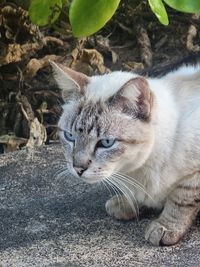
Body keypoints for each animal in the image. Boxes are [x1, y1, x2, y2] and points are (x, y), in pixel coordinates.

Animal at [50, 60, 200, 247]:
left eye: (106, 143)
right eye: (70, 137)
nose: (78, 168)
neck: (135, 170)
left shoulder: (193, 177)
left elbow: (180, 200)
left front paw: (165, 227)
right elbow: (139, 196)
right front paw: (126, 205)